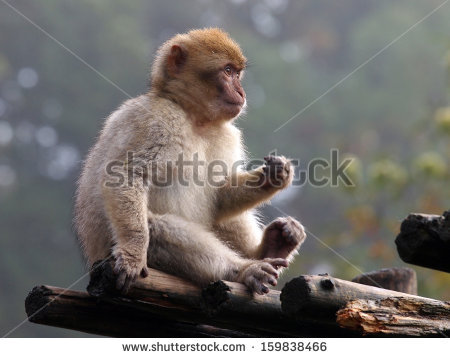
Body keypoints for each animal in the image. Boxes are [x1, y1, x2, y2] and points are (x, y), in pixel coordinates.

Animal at [74, 28, 306, 296]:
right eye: (228, 71)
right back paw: (244, 269)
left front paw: (274, 176)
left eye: (237, 73)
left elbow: (220, 195)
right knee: (155, 226)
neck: (194, 118)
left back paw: (270, 248)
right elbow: (126, 175)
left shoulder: (226, 134)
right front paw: (132, 253)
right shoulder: (154, 119)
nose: (241, 92)